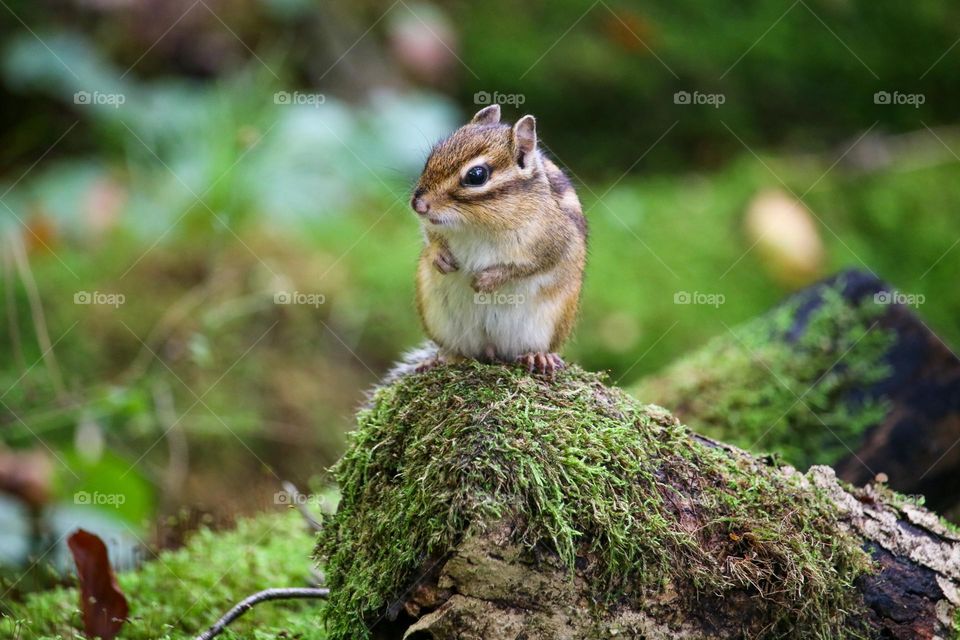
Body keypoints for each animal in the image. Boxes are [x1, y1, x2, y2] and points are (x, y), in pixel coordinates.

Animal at [409, 104, 587, 376]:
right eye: (432, 157)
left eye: (476, 175)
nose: (418, 204)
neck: (477, 224)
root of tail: (492, 350)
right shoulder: (433, 226)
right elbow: (432, 236)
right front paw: (440, 257)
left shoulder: (555, 242)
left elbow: (529, 266)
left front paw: (487, 280)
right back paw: (440, 359)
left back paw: (538, 356)